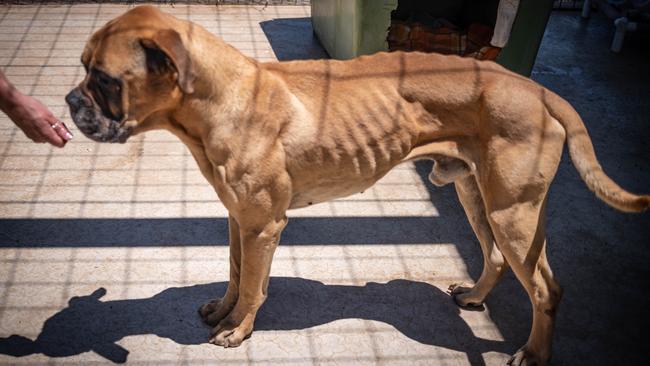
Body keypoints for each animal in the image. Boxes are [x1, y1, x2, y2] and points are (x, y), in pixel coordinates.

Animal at [66, 6, 648, 366]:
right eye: (83, 68)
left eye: (106, 79)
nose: (71, 103)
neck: (221, 97)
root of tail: (534, 86)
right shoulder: (239, 221)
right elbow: (235, 273)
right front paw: (224, 310)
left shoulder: (263, 226)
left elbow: (253, 284)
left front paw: (238, 329)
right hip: (477, 198)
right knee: (498, 260)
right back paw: (475, 296)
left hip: (514, 214)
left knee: (546, 289)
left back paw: (533, 352)